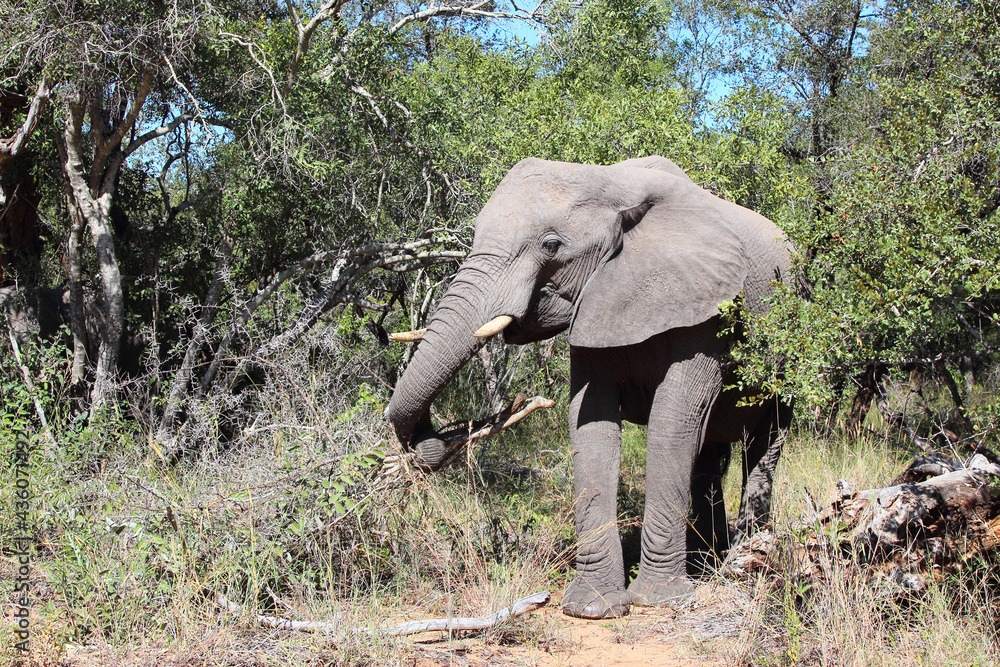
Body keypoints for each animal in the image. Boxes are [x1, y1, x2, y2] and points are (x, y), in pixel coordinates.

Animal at [385, 156, 794, 619]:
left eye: (551, 246)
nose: (430, 444)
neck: (612, 181)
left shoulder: (706, 312)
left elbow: (673, 422)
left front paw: (659, 601)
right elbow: (590, 424)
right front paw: (592, 608)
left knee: (766, 441)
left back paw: (741, 558)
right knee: (709, 455)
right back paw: (707, 559)